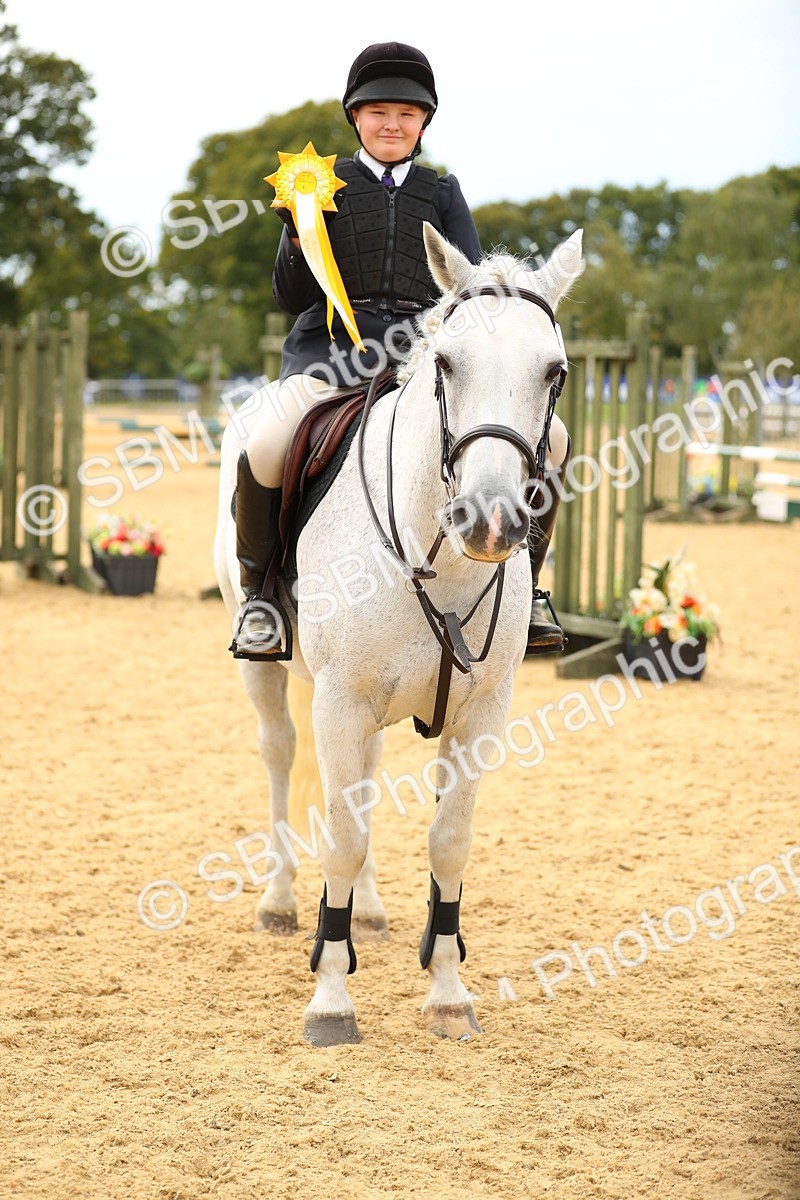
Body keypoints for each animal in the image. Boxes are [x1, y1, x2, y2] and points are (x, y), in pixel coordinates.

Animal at [213, 223, 584, 1044]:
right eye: (446, 362)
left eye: (555, 373)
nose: (489, 521)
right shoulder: (341, 702)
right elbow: (342, 837)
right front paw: (331, 1000)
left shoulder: (480, 714)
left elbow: (449, 840)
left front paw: (447, 992)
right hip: (268, 670)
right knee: (280, 757)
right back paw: (281, 903)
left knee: (365, 781)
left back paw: (372, 913)